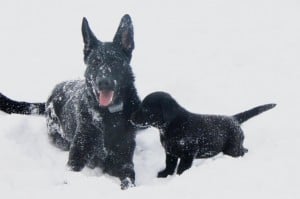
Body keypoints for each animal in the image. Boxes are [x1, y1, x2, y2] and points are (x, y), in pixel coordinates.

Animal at [0, 14, 141, 190]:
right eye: (95, 62)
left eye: (115, 61)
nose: (103, 82)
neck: (107, 116)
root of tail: (48, 99)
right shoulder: (76, 157)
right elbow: (72, 172)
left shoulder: (124, 162)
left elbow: (129, 181)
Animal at [130, 91, 276, 177]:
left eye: (146, 108)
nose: (130, 118)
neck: (172, 125)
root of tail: (233, 119)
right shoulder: (170, 152)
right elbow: (169, 164)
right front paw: (165, 174)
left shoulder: (188, 154)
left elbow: (182, 168)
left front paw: (180, 177)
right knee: (244, 149)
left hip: (232, 148)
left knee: (241, 151)